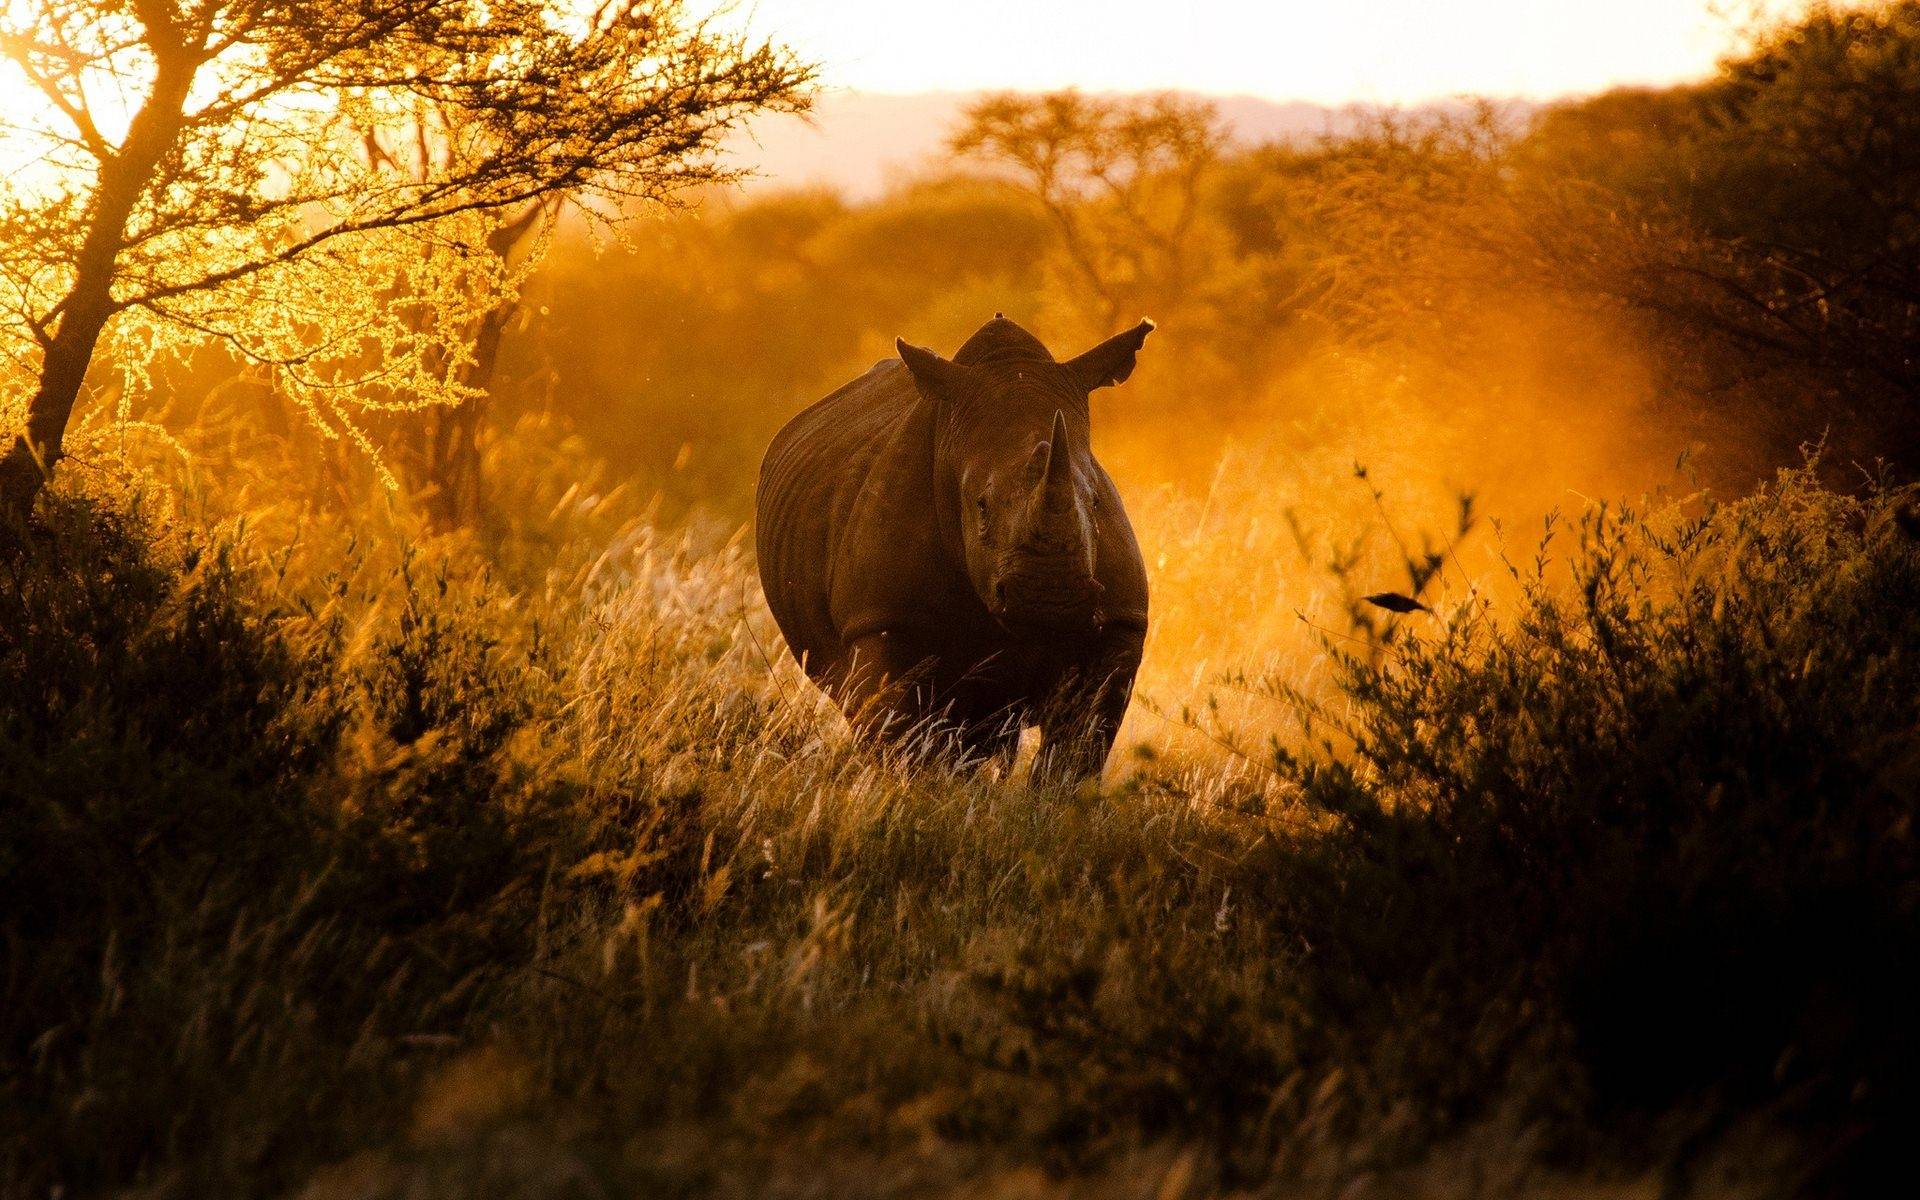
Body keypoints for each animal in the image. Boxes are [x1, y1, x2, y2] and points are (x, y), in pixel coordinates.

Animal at [756, 315, 1154, 784]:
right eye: (980, 505)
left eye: (1094, 503)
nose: (1050, 597)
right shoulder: (881, 618)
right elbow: (903, 735)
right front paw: (917, 792)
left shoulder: (1119, 622)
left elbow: (1080, 745)